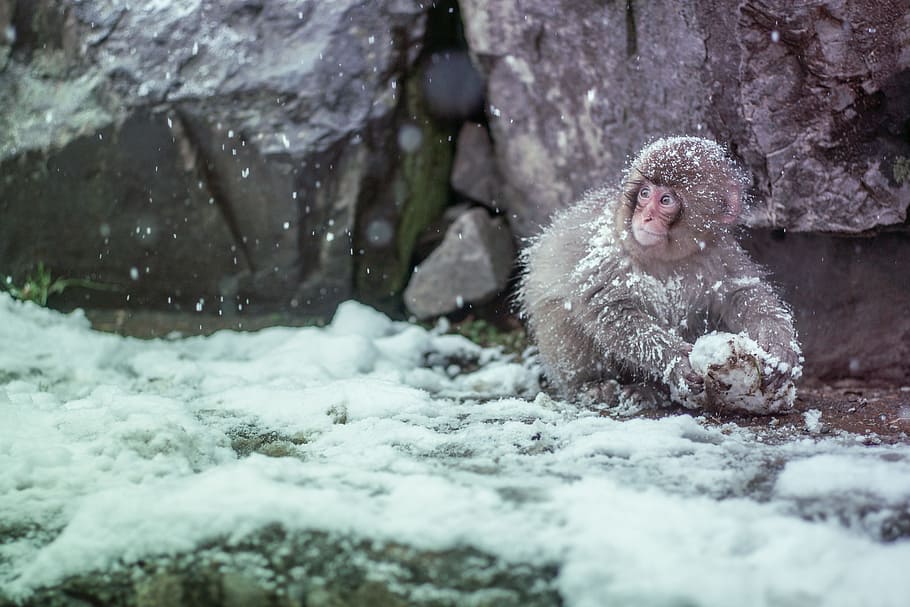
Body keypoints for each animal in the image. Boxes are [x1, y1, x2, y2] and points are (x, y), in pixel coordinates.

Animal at [518, 136, 801, 409]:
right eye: (644, 194)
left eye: (666, 200)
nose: (645, 217)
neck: (666, 259)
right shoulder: (610, 255)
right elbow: (610, 310)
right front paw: (675, 360)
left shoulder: (720, 253)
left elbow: (744, 293)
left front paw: (779, 345)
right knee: (561, 313)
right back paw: (594, 386)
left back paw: (651, 391)